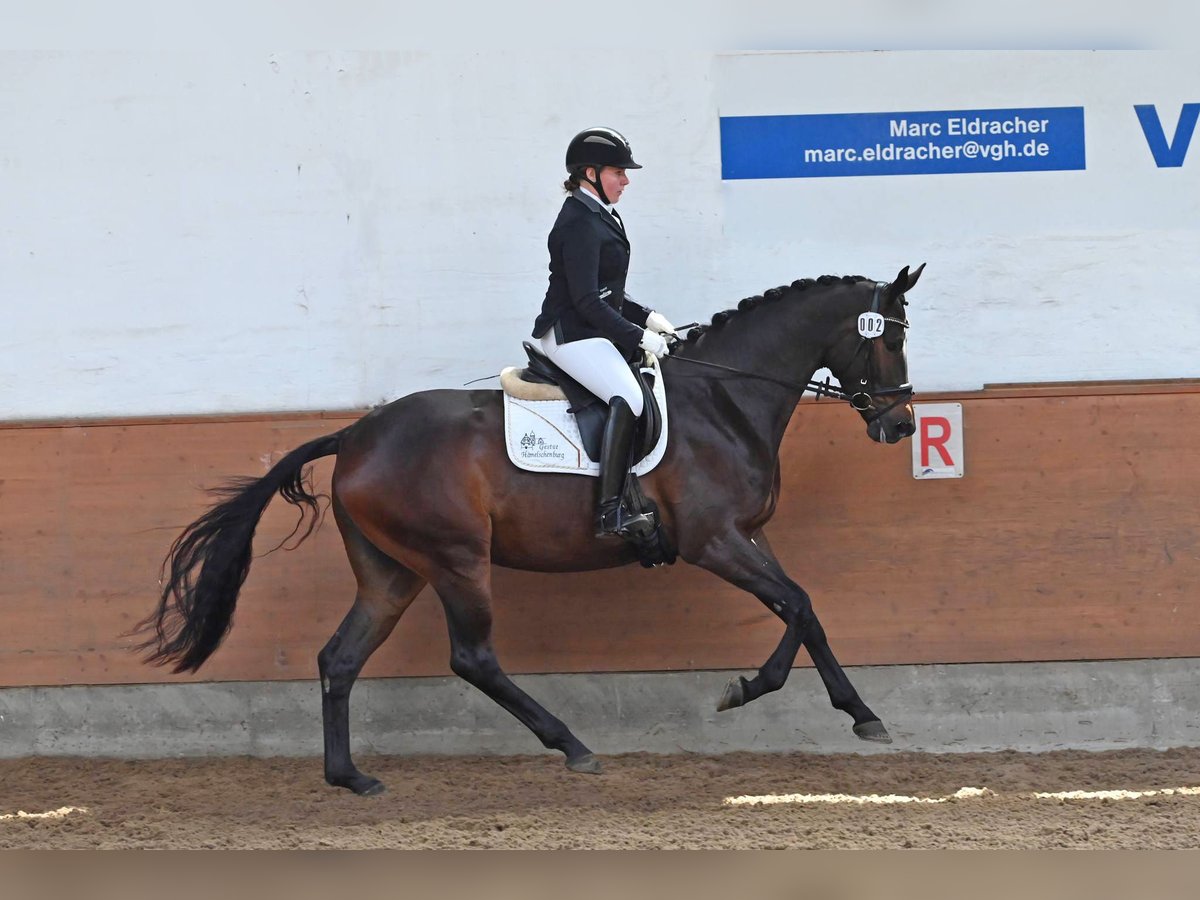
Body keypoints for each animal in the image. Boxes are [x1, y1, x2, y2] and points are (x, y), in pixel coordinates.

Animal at [142, 262, 926, 796]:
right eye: (886, 342)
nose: (900, 424)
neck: (724, 397)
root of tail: (357, 434)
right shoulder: (715, 542)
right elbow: (795, 605)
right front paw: (746, 689)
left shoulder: (748, 535)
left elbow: (805, 609)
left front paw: (861, 713)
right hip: (456, 559)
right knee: (473, 658)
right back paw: (572, 745)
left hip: (391, 572)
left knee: (340, 657)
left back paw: (351, 778)